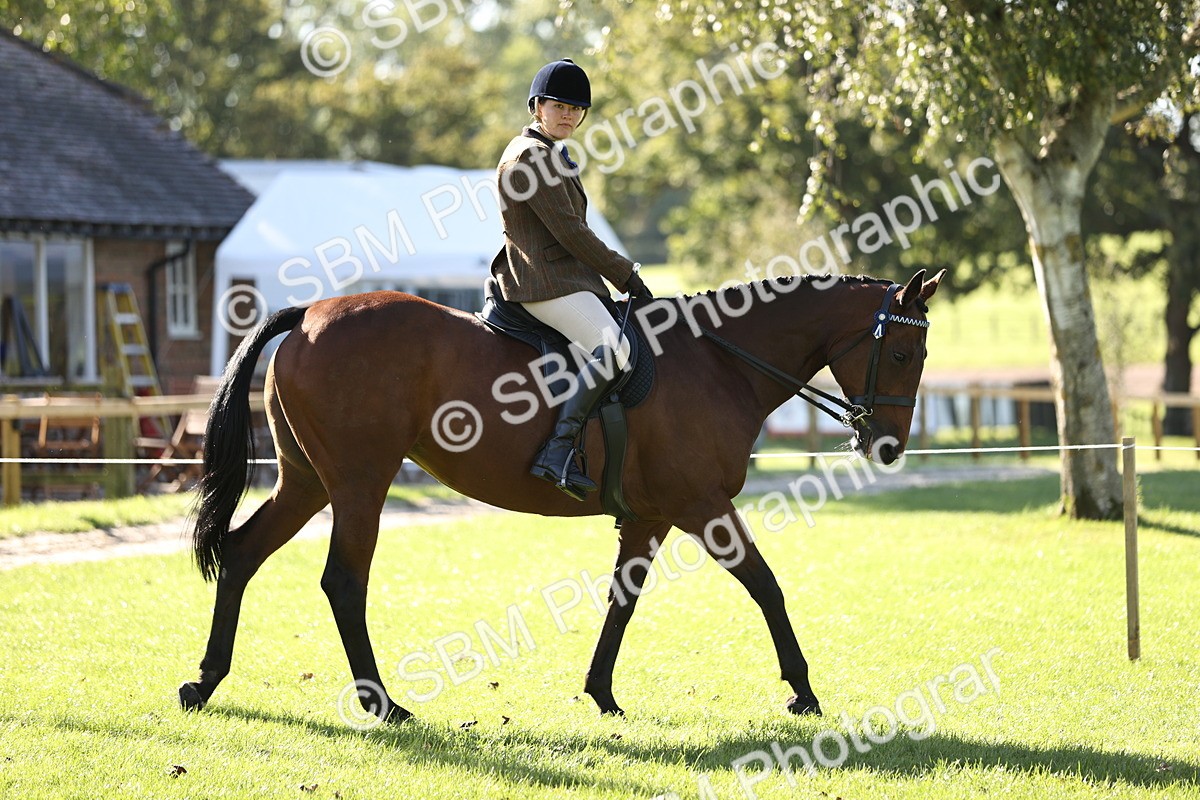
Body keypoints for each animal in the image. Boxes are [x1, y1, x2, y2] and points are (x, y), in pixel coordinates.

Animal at [178, 268, 946, 726]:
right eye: (902, 354)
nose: (887, 447)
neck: (719, 360)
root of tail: (311, 312)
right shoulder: (702, 508)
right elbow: (766, 586)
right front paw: (803, 690)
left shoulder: (651, 518)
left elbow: (622, 602)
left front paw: (601, 693)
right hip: (361, 483)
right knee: (343, 581)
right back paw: (384, 705)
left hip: (306, 481)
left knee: (241, 553)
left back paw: (205, 681)